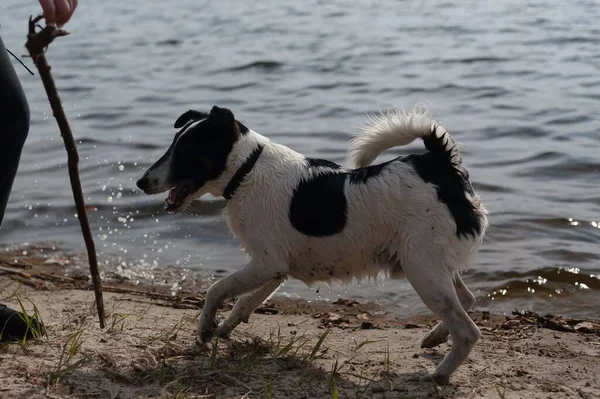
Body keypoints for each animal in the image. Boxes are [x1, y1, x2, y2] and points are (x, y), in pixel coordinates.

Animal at [136, 105, 488, 384]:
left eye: (186, 151)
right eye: (173, 146)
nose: (141, 182)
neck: (247, 171)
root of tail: (441, 166)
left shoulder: (266, 264)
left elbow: (216, 290)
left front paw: (206, 327)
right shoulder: (273, 268)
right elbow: (244, 301)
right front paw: (223, 328)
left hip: (422, 270)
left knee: (468, 330)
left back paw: (439, 374)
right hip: (430, 267)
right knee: (466, 300)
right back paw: (435, 337)